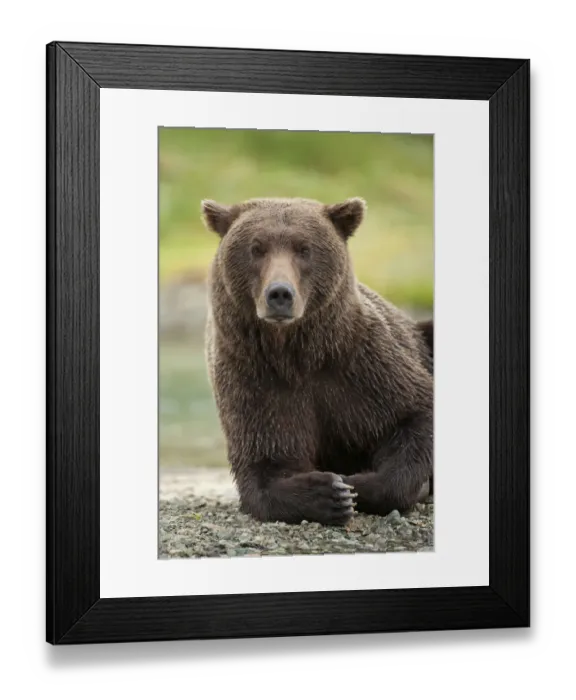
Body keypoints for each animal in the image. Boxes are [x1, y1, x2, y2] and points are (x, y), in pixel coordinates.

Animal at [201, 196, 433, 526]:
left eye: (304, 248)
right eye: (256, 248)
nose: (280, 294)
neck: (297, 354)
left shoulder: (362, 366)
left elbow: (414, 413)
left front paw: (357, 484)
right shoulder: (254, 378)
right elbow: (267, 462)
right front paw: (330, 493)